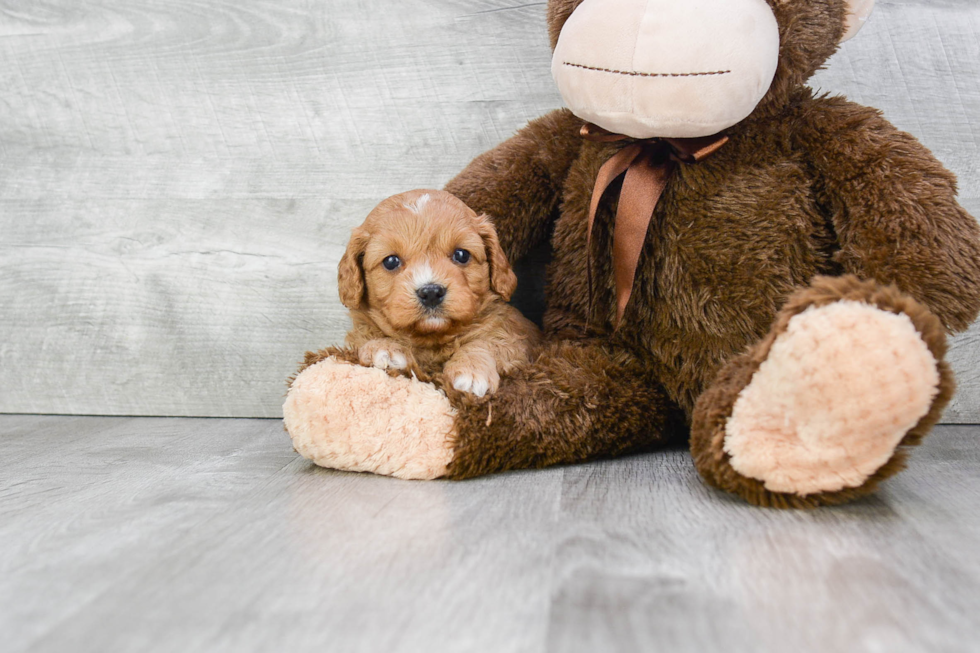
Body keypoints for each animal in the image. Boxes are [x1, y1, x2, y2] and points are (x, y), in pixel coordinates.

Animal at [334, 186, 536, 394]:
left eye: (461, 255)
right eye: (390, 261)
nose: (431, 292)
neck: (432, 339)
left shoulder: (516, 338)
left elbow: (488, 341)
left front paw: (471, 369)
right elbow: (367, 336)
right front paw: (383, 348)